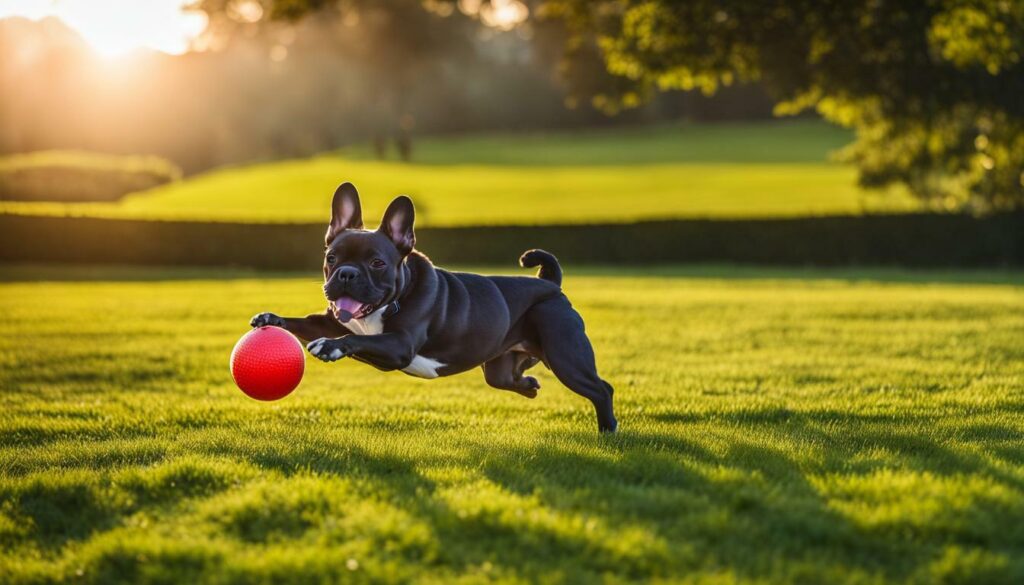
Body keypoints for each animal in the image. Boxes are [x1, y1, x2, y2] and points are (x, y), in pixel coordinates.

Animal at [249, 183, 614, 434]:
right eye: (331, 258)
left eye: (378, 263)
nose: (346, 274)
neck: (386, 304)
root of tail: (551, 284)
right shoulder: (331, 322)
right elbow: (303, 322)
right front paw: (271, 318)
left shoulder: (399, 345)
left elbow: (360, 340)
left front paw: (331, 347)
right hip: (500, 367)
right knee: (509, 379)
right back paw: (530, 386)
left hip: (565, 355)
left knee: (600, 388)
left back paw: (608, 430)